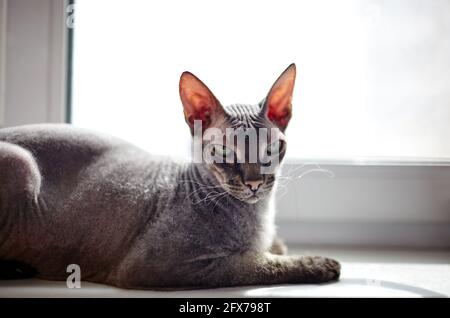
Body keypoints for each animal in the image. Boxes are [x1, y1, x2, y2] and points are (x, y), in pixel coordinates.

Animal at [0, 64, 338, 288]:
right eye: (224, 152)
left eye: (271, 149)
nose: (254, 183)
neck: (259, 214)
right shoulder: (163, 265)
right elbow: (253, 263)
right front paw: (317, 264)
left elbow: (273, 248)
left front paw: (278, 245)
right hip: (22, 163)